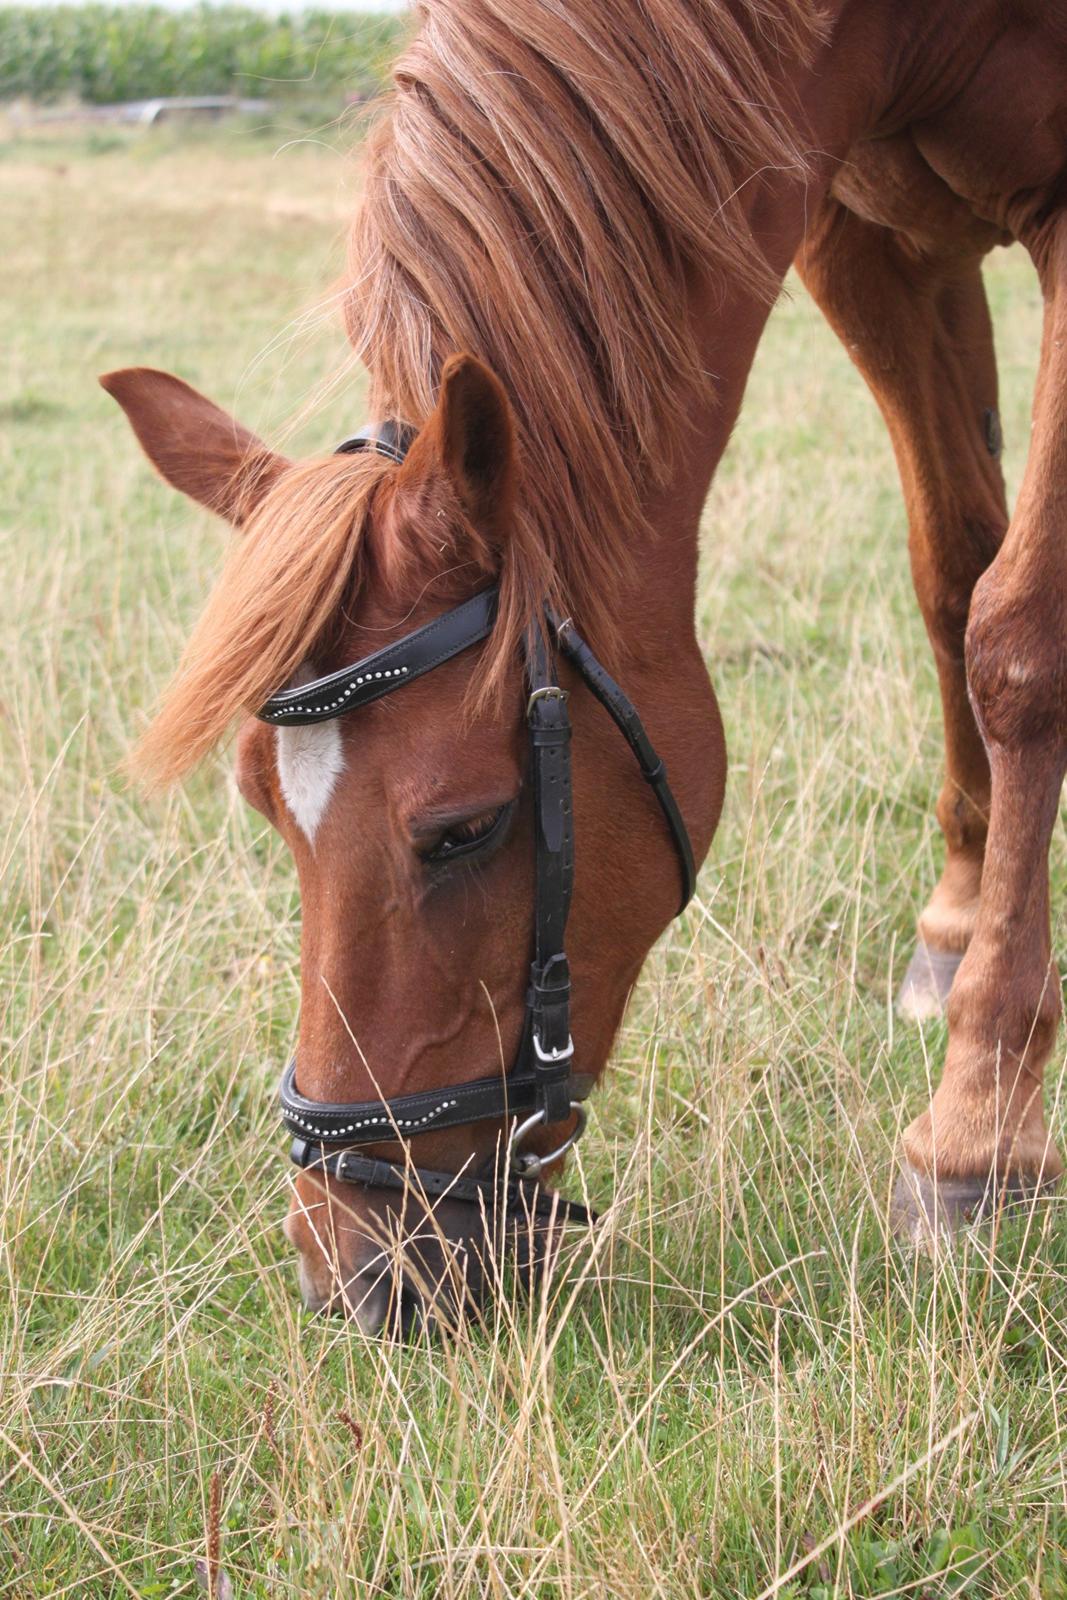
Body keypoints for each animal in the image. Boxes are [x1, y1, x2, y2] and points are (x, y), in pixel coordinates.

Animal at [103, 0, 1067, 1324]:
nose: (354, 1268)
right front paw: (957, 922)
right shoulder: (867, 244)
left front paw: (977, 1134)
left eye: (461, 829)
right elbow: (956, 579)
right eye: (263, 806)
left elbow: (1019, 641)